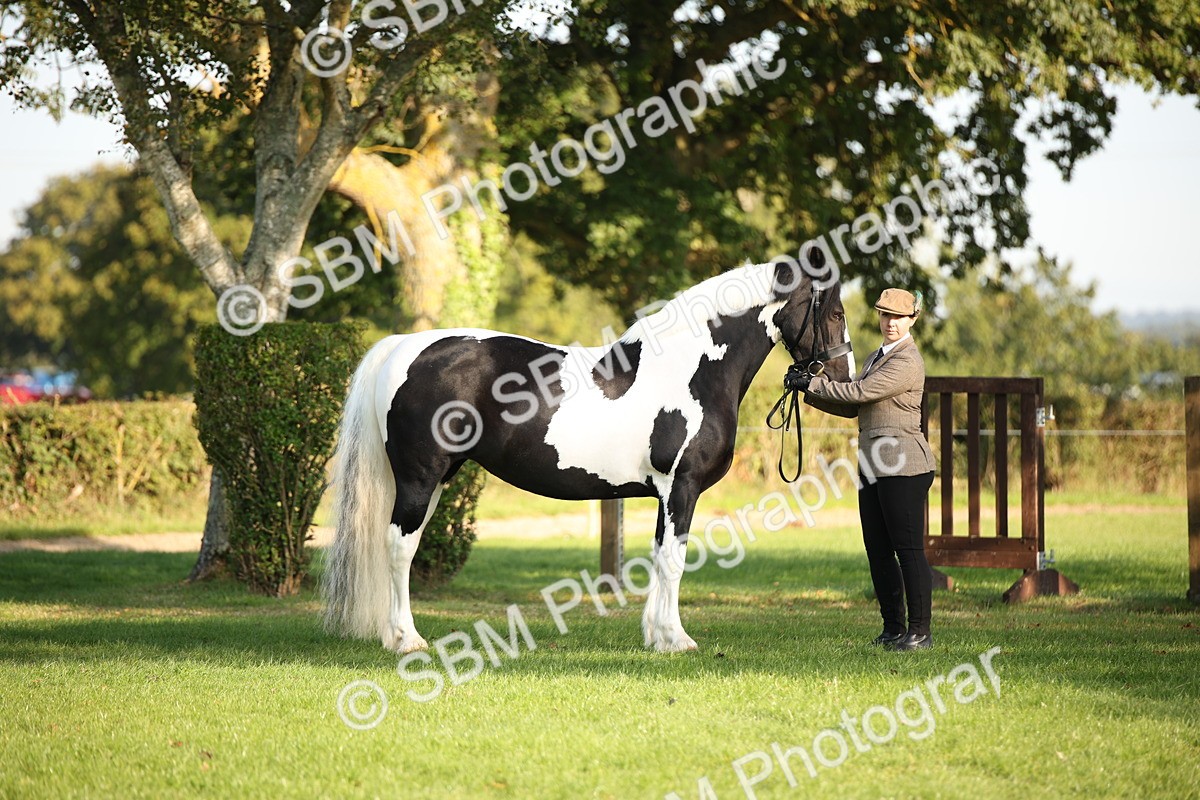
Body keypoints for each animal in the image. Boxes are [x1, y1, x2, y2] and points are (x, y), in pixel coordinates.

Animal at [322, 252, 855, 653]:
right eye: (835, 313)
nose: (842, 378)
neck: (692, 370)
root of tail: (403, 346)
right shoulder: (681, 488)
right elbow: (674, 559)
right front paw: (677, 639)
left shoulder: (665, 494)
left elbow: (659, 554)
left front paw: (656, 637)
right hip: (420, 477)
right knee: (399, 548)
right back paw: (408, 639)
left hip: (435, 478)